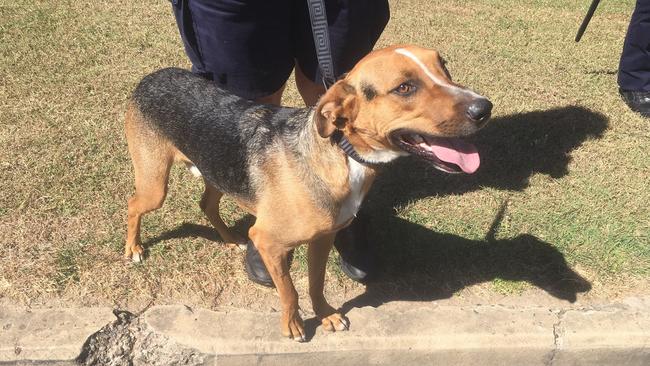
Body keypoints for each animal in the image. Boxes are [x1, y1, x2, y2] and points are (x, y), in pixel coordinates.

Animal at [123, 45, 492, 340]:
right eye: (404, 87)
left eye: (444, 67)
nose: (484, 108)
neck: (342, 155)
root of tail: (151, 77)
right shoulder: (268, 242)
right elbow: (289, 291)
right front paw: (293, 325)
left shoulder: (323, 238)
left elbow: (315, 283)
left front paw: (325, 315)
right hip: (155, 184)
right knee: (133, 204)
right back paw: (134, 249)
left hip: (216, 170)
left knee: (207, 204)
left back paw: (229, 239)